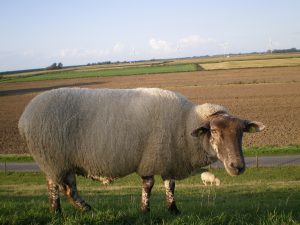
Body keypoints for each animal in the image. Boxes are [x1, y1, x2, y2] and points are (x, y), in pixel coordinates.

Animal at [18, 87, 264, 214]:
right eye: (213, 131)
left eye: (242, 132)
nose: (237, 166)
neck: (184, 123)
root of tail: (24, 117)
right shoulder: (152, 158)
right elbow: (148, 185)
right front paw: (145, 211)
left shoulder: (166, 158)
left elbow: (170, 186)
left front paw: (173, 210)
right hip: (52, 158)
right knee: (55, 186)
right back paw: (60, 212)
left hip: (63, 161)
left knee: (69, 187)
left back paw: (85, 209)